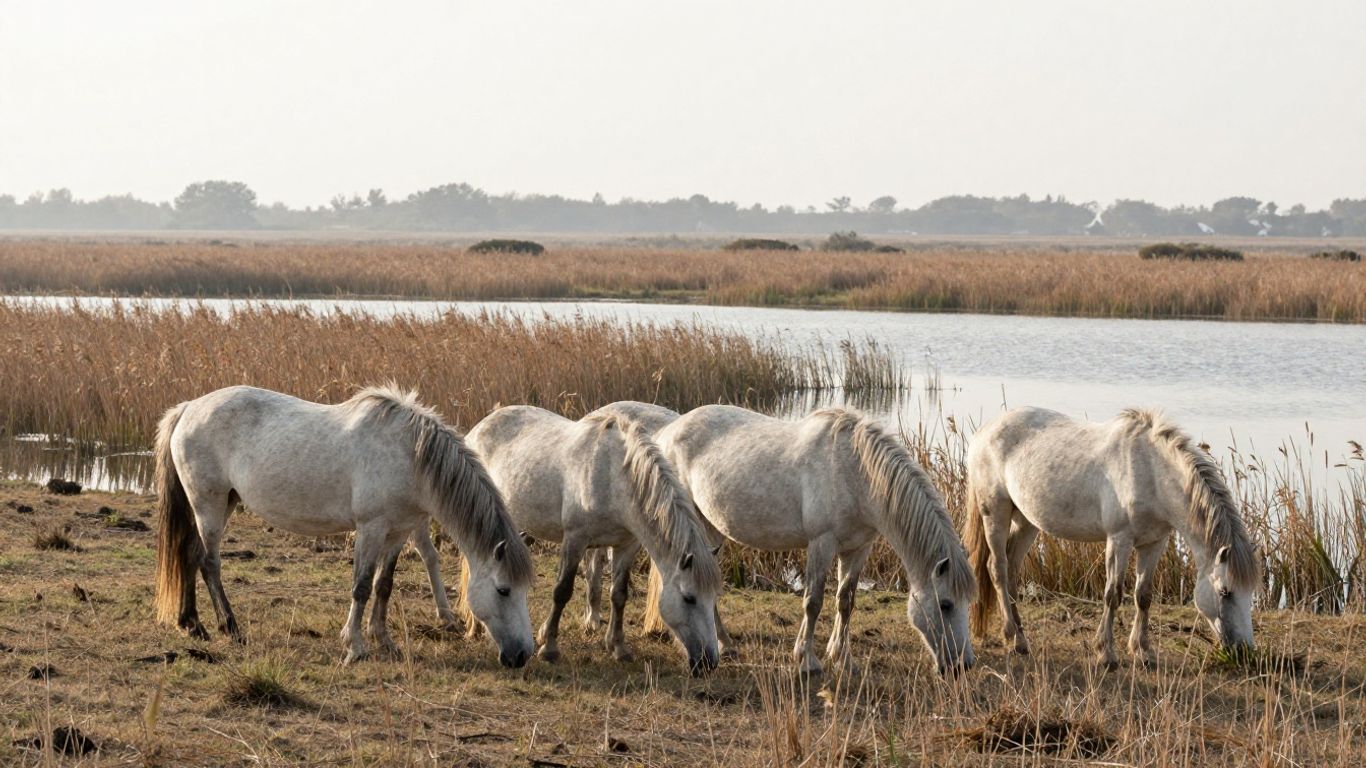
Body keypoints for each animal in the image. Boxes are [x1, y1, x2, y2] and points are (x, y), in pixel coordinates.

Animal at [153, 385, 536, 667]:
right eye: (503, 590)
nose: (521, 655)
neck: (411, 456)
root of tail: (188, 408)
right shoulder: (370, 528)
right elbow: (361, 586)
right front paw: (355, 646)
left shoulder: (397, 531)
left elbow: (384, 585)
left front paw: (385, 641)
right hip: (209, 505)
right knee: (209, 563)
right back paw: (229, 628)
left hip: (222, 502)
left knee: (188, 556)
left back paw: (192, 625)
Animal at [460, 405, 722, 674]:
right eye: (689, 598)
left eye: (714, 597)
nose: (708, 661)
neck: (613, 476)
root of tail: (482, 425)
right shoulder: (575, 539)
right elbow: (562, 591)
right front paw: (549, 647)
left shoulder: (626, 545)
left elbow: (619, 595)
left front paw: (618, 647)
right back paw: (475, 627)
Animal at [651, 405, 976, 676]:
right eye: (946, 604)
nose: (963, 665)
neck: (855, 472)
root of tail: (667, 431)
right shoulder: (822, 543)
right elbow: (813, 601)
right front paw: (807, 660)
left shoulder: (859, 547)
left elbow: (846, 600)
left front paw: (843, 658)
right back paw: (725, 644)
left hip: (711, 528)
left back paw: (726, 643)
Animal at [962, 407, 1259, 667]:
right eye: (1225, 591)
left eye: (1250, 593)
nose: (1244, 651)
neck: (1151, 472)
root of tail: (984, 431)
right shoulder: (1119, 540)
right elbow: (1113, 594)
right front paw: (1106, 654)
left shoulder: (1154, 543)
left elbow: (1143, 595)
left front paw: (1143, 652)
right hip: (995, 513)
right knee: (998, 569)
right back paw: (1013, 637)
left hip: (1026, 521)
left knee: (1012, 567)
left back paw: (1022, 638)